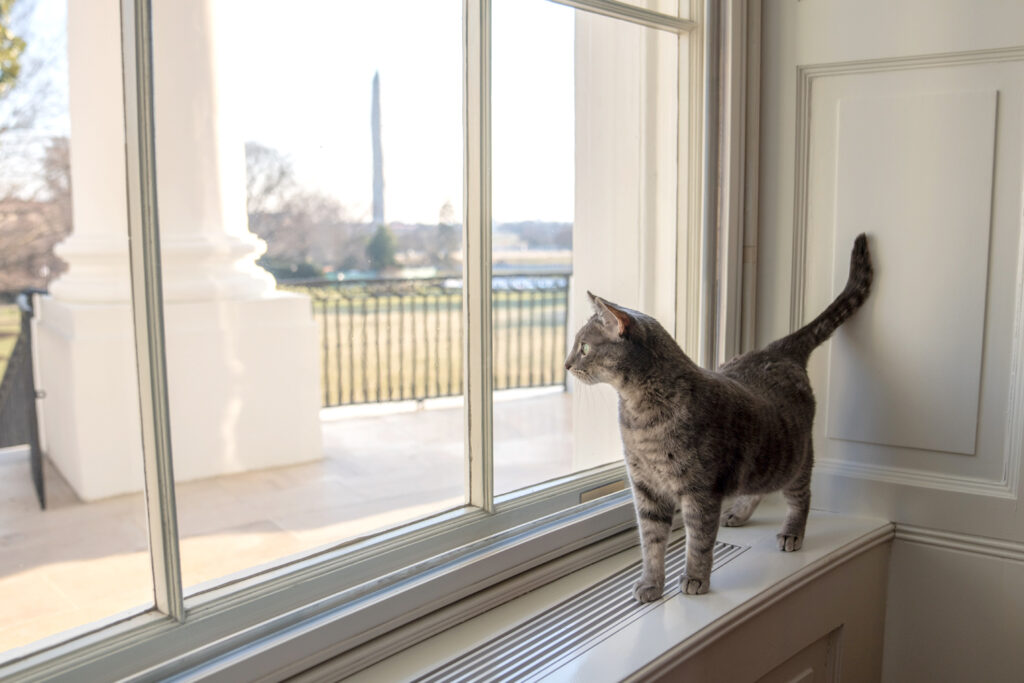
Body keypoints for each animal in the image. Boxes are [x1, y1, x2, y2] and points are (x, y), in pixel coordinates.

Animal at [569, 232, 872, 602]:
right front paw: (651, 584)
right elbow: (651, 543)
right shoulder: (646, 488)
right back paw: (739, 513)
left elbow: (699, 541)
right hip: (764, 466)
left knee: (802, 496)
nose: (566, 364)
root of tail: (777, 349)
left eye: (584, 348)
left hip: (795, 460)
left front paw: (695, 579)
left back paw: (793, 532)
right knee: (757, 489)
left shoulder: (700, 489)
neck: (638, 413)